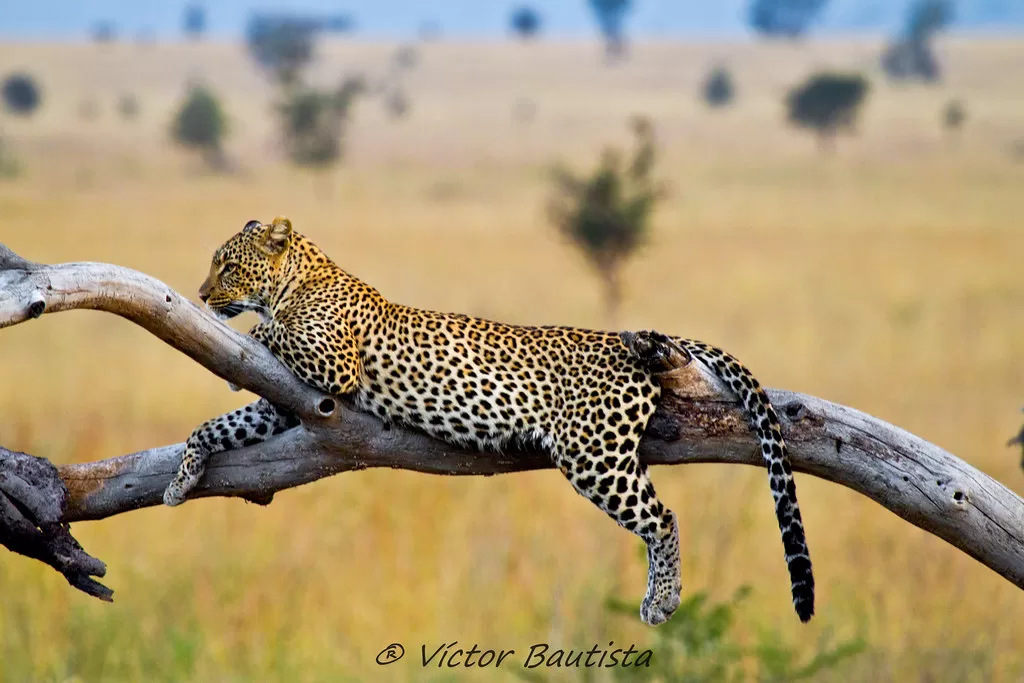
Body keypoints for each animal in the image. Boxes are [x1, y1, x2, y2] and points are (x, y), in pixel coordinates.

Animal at [161, 218, 815, 626]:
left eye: (228, 267)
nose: (200, 294)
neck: (300, 279)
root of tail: (620, 339)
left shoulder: (332, 363)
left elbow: (268, 335)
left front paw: (246, 337)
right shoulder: (289, 401)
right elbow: (221, 425)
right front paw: (181, 477)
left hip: (594, 456)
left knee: (665, 519)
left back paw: (663, 603)